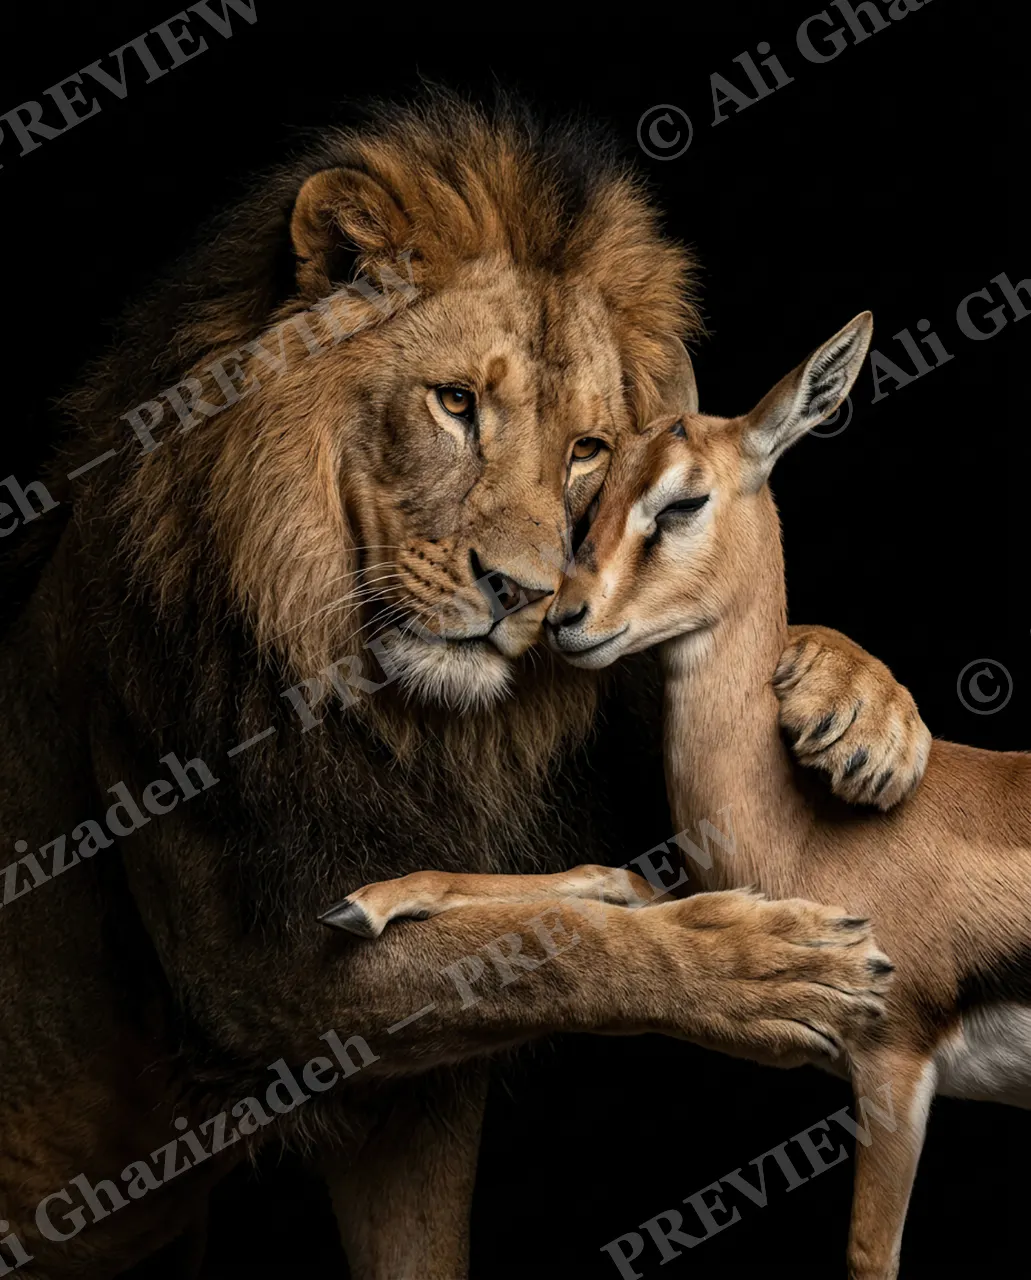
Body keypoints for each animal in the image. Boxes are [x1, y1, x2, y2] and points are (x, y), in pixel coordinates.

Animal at [0, 93, 929, 1277]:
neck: (385, 710)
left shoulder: (413, 1112)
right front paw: (752, 961)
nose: (526, 593)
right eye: (453, 403)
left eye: (586, 449)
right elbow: (523, 952)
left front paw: (864, 710)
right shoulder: (248, 969)